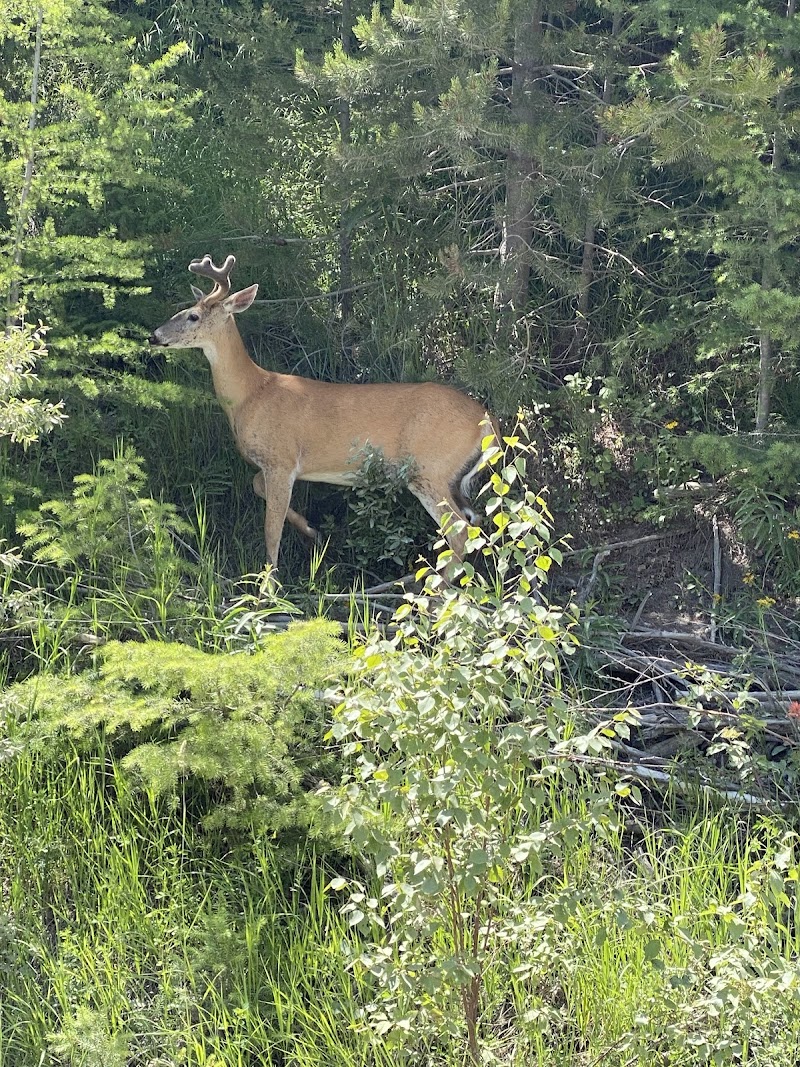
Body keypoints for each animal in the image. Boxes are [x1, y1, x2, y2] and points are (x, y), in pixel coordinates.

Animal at [149, 254, 498, 572]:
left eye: (193, 316)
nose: (154, 335)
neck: (253, 393)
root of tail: (486, 420)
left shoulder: (282, 459)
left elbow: (271, 531)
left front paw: (268, 586)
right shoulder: (274, 465)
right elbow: (256, 485)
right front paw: (312, 531)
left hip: (429, 468)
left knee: (459, 533)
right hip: (449, 476)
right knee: (474, 522)